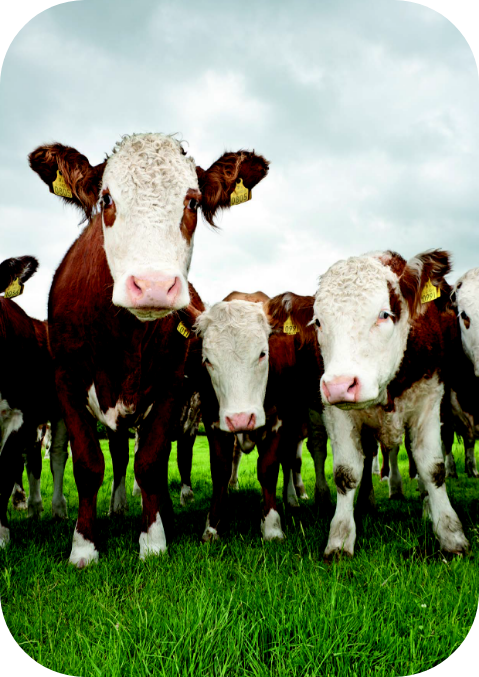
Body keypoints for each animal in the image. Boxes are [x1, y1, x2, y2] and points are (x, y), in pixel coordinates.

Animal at [29, 133, 268, 566]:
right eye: (106, 199)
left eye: (192, 202)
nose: (154, 285)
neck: (123, 336)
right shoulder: (67, 382)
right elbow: (89, 464)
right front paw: (84, 545)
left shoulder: (171, 385)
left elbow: (152, 462)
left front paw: (154, 540)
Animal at [269, 250, 469, 558]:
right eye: (318, 322)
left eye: (384, 314)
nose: (339, 385)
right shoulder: (335, 411)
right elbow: (346, 472)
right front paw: (340, 538)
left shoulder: (429, 399)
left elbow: (432, 468)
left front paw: (451, 535)